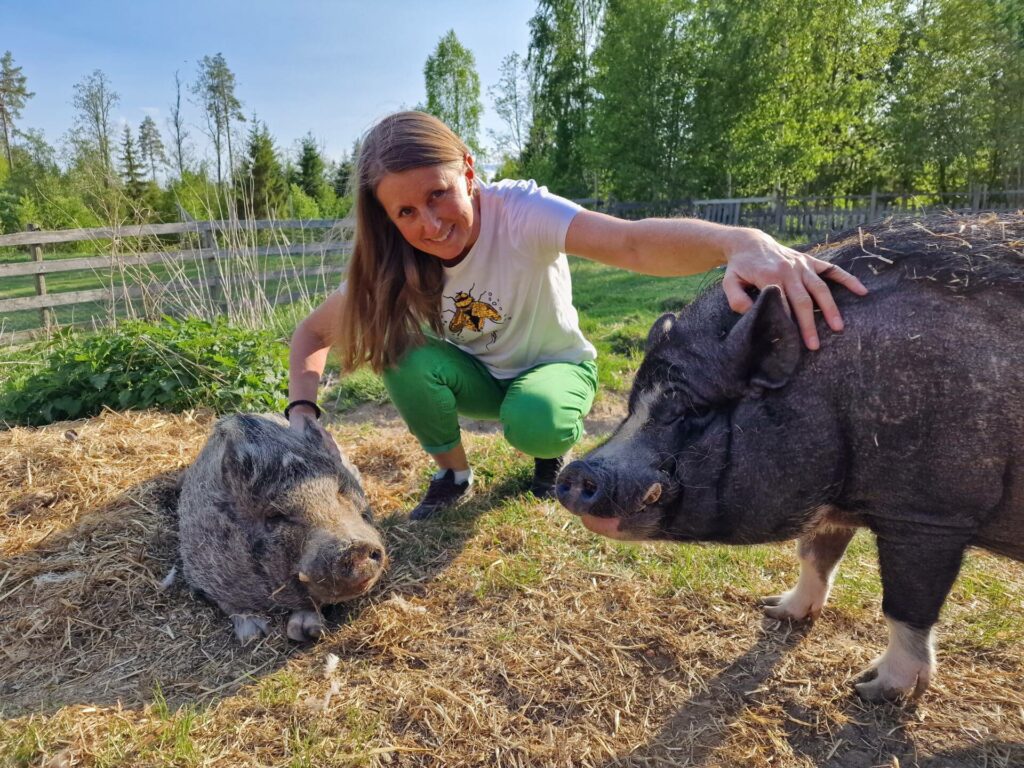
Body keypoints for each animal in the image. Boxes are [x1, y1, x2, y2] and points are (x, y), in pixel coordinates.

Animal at [178, 415, 385, 643]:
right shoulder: (197, 570)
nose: (355, 548)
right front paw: (255, 634)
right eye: (276, 516)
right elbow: (228, 603)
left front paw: (308, 631)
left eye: (340, 490)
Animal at [561, 214, 1024, 700]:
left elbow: (905, 604)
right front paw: (773, 609)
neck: (833, 391)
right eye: (634, 405)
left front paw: (870, 689)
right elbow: (815, 556)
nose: (576, 471)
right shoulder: (834, 501)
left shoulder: (930, 513)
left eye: (692, 409)